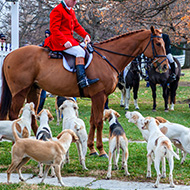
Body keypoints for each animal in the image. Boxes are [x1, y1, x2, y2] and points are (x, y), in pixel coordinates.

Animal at [0, 27, 168, 157]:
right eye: (158, 43)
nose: (165, 66)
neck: (108, 57)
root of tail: (10, 54)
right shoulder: (99, 95)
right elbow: (99, 121)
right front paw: (101, 150)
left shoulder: (97, 97)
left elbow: (93, 121)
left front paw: (92, 149)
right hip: (20, 92)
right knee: (14, 116)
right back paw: (17, 144)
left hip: (34, 91)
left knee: (33, 117)